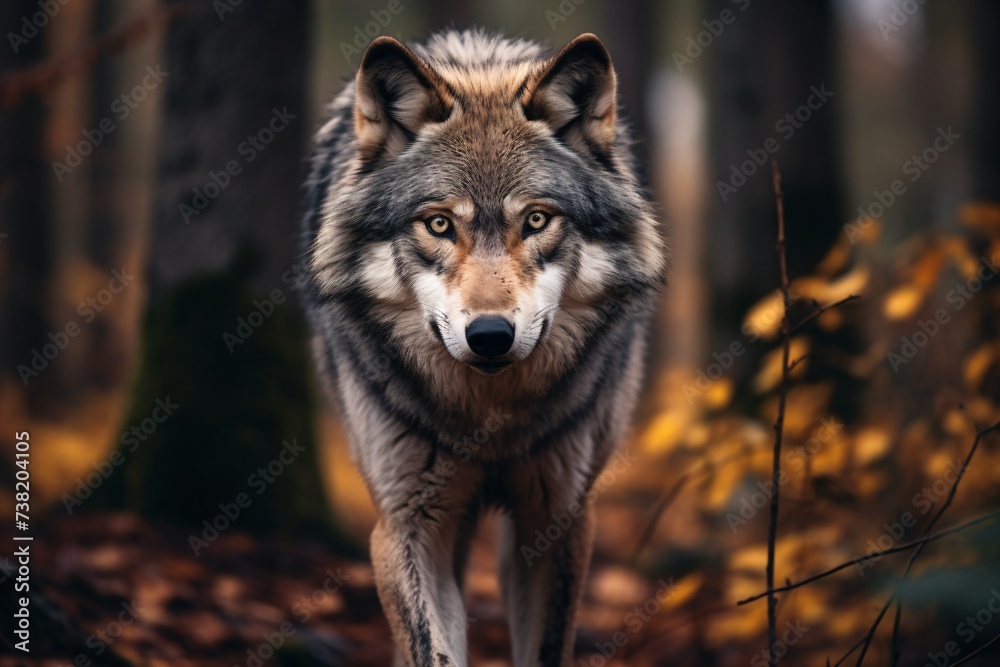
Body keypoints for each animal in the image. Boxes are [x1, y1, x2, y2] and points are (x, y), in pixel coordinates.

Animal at [301, 29, 665, 667]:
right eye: (439, 225)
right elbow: (432, 649)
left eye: (538, 220)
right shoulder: (409, 523)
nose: (490, 335)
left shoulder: (558, 518)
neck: (491, 419)